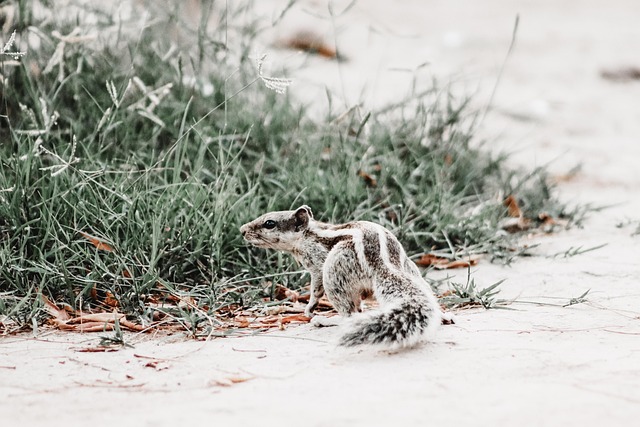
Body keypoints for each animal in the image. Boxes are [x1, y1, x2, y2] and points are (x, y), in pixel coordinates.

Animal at [240, 205, 446, 348]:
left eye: (269, 223)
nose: (242, 230)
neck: (308, 234)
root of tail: (383, 264)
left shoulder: (317, 264)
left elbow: (316, 289)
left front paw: (309, 307)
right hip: (410, 270)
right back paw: (445, 315)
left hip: (334, 269)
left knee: (349, 314)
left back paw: (327, 320)